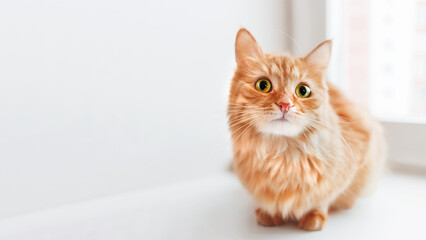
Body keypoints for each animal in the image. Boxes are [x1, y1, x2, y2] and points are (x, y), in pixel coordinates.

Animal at [228, 29, 384, 232]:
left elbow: (323, 199)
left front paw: (314, 216)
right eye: (263, 85)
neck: (283, 157)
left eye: (303, 90)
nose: (285, 105)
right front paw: (269, 213)